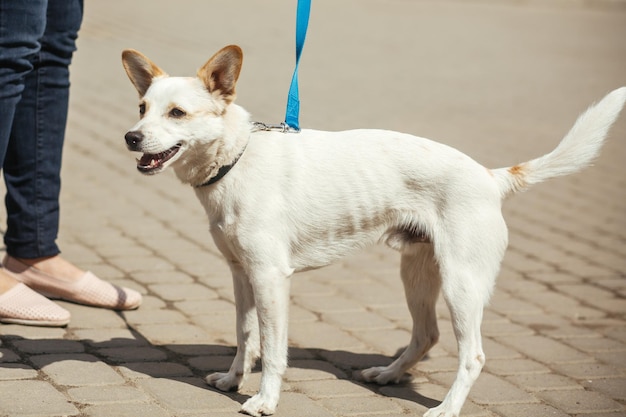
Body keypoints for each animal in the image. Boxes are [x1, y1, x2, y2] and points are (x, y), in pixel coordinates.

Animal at [122, 44, 624, 414]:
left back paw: (445, 409)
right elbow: (246, 337)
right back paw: (388, 374)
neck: (238, 159)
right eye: (142, 107)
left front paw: (264, 400)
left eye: (177, 113)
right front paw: (231, 379)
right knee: (427, 335)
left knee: (473, 356)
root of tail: (490, 176)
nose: (130, 137)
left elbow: (274, 350)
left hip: (462, 285)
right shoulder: (241, 274)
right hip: (417, 275)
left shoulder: (270, 279)